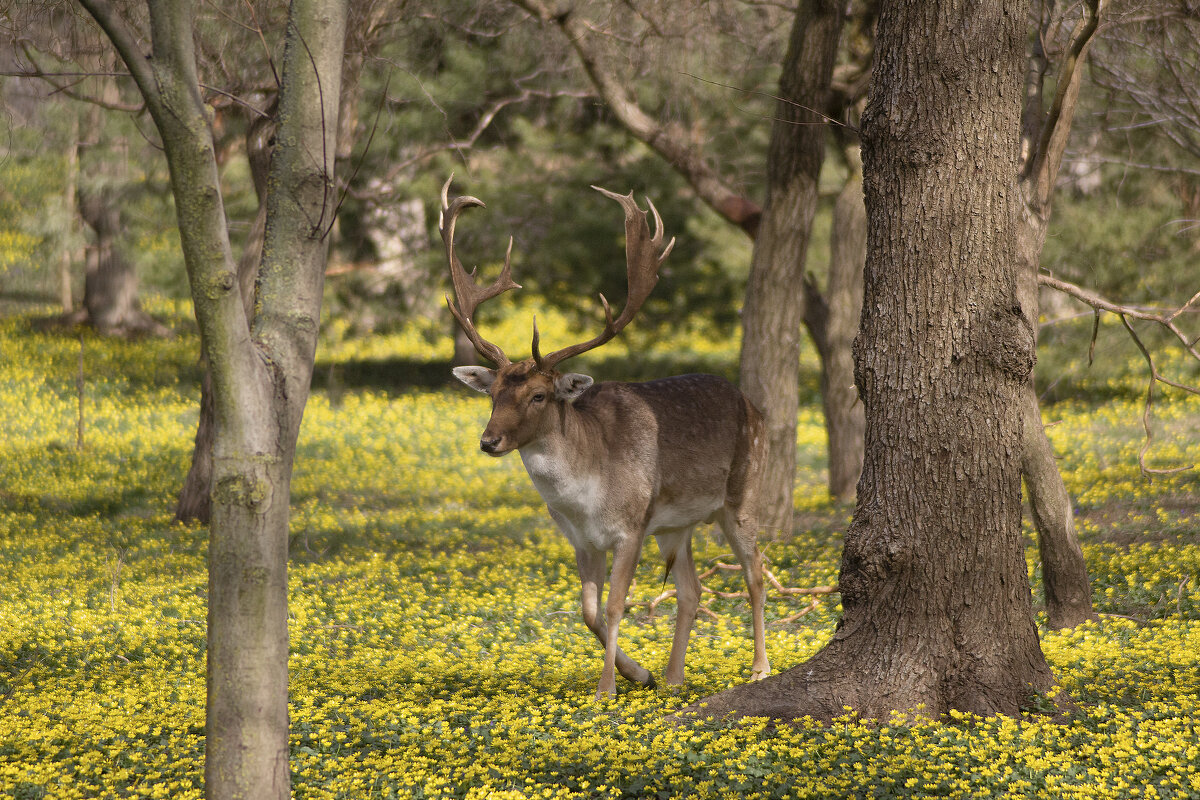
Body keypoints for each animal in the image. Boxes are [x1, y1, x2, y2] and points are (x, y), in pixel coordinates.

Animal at [440, 177, 771, 701]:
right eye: (491, 394)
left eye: (538, 395)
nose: (489, 441)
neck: (586, 493)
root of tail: (754, 407)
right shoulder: (581, 540)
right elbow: (588, 611)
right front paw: (639, 673)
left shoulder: (631, 526)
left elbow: (616, 606)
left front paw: (606, 690)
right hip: (677, 524)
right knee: (692, 590)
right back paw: (673, 678)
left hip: (743, 489)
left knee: (756, 571)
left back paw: (759, 667)